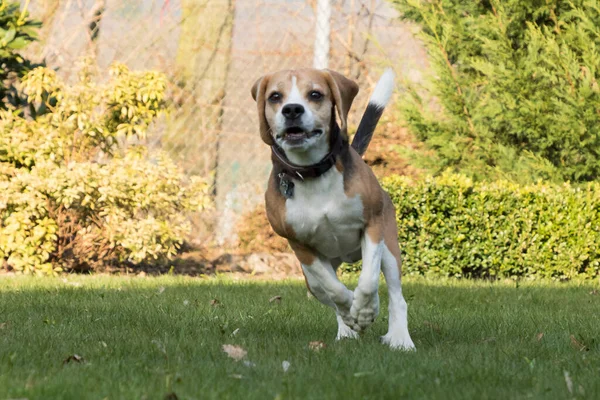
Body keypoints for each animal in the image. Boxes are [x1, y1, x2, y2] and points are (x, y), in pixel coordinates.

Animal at [251, 67, 414, 348]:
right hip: (310, 280)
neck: (313, 173)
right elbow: (336, 290)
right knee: (329, 291)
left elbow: (368, 281)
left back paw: (399, 338)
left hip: (390, 249)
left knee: (395, 295)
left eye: (315, 94)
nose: (291, 109)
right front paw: (352, 311)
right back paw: (347, 329)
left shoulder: (373, 224)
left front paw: (366, 309)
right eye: (275, 97)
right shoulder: (299, 245)